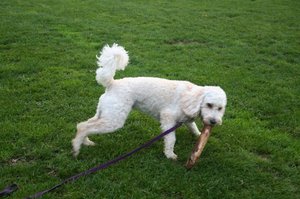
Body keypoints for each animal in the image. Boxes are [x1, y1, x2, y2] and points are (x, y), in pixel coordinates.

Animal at [71, 44, 226, 159]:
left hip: (104, 113)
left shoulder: (186, 119)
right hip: (114, 119)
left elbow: (193, 127)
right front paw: (170, 155)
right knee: (85, 127)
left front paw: (199, 136)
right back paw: (76, 149)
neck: (192, 97)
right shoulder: (168, 118)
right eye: (209, 105)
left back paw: (86, 142)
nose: (213, 122)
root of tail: (112, 83)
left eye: (220, 109)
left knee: (83, 124)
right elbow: (171, 139)